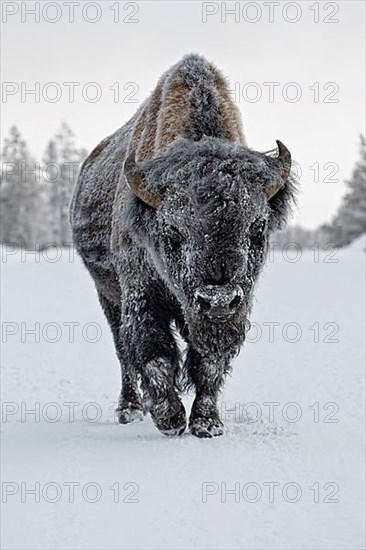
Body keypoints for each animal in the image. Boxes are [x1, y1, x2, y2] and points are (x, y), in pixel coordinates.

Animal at [70, 52, 296, 440]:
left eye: (258, 227)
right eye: (172, 232)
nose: (218, 299)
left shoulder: (229, 313)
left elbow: (209, 362)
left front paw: (207, 423)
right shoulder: (140, 294)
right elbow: (155, 353)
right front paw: (171, 419)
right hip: (108, 296)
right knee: (123, 353)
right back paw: (130, 409)